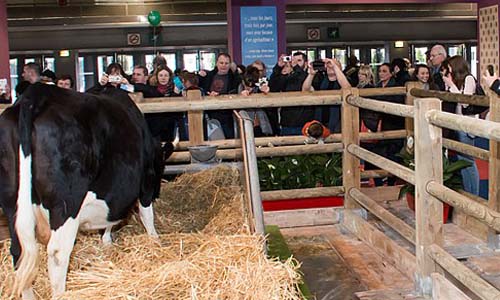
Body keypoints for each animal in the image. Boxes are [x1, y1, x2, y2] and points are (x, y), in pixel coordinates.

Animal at [0, 82, 168, 298]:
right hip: (66, 205)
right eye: (161, 167)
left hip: (12, 203)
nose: (158, 193)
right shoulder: (145, 180)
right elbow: (146, 215)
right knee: (58, 253)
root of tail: (37, 94)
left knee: (19, 252)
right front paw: (154, 240)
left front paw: (106, 241)